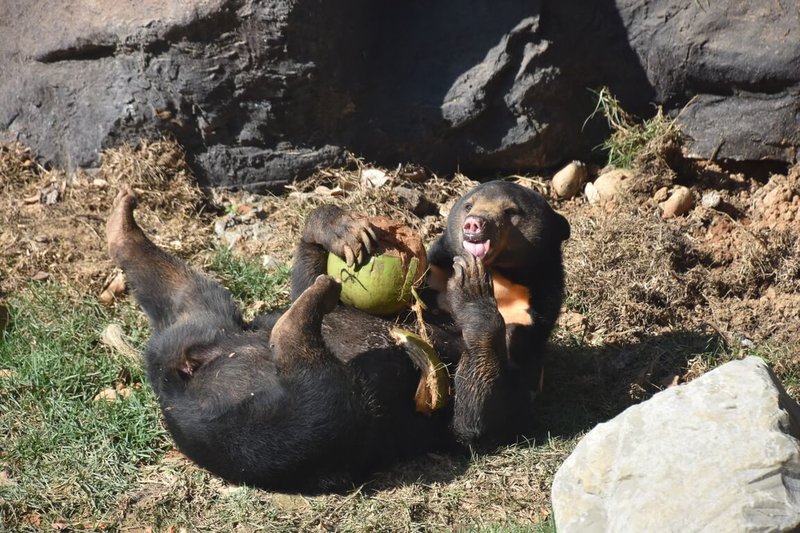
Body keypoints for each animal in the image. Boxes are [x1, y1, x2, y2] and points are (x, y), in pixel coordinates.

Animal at [108, 179, 568, 490]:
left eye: (513, 213)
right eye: (469, 203)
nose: (475, 225)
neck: (505, 286)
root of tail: (176, 391)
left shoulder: (528, 336)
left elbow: (475, 422)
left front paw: (472, 290)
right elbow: (309, 282)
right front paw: (344, 228)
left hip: (304, 433)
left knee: (314, 395)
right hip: (205, 331)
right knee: (187, 292)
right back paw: (122, 219)